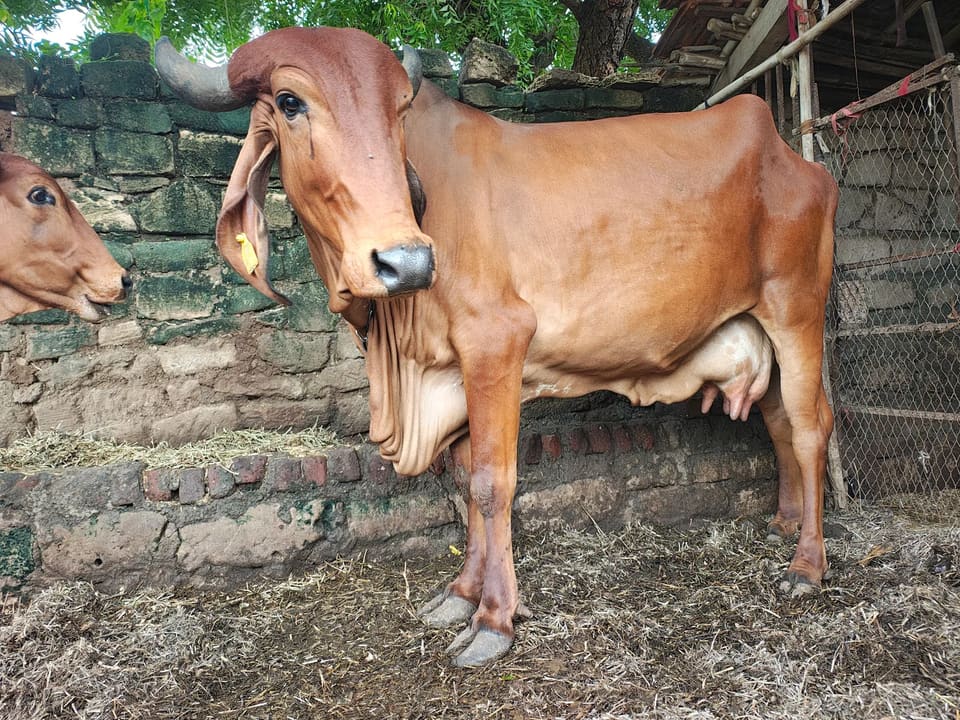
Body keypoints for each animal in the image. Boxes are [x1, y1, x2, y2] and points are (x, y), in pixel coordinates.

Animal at [156, 27, 838, 667]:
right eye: (290, 102)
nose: (405, 262)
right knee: (778, 421)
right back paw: (784, 524)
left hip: (796, 311)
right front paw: (460, 593)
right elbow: (464, 483)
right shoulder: (455, 373)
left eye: (398, 111)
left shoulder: (496, 345)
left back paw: (808, 564)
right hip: (760, 334)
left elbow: (491, 483)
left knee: (810, 427)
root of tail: (797, 158)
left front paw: (493, 619)